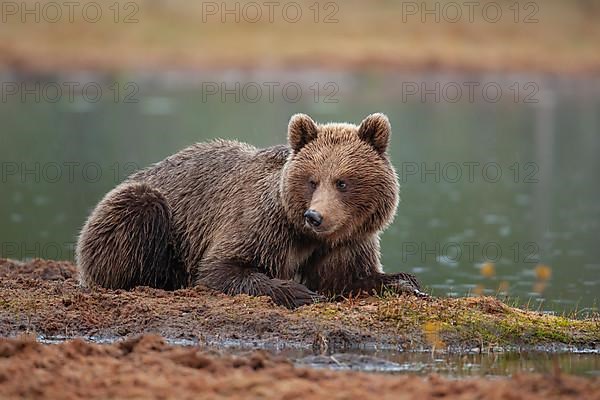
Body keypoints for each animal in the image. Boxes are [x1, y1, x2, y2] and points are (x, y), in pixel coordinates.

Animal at [76, 114, 422, 308]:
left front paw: (404, 282)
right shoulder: (262, 224)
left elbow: (349, 277)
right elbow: (222, 268)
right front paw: (299, 292)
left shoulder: (346, 242)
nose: (315, 217)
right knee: (138, 211)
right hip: (144, 212)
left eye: (342, 182)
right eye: (312, 180)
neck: (305, 237)